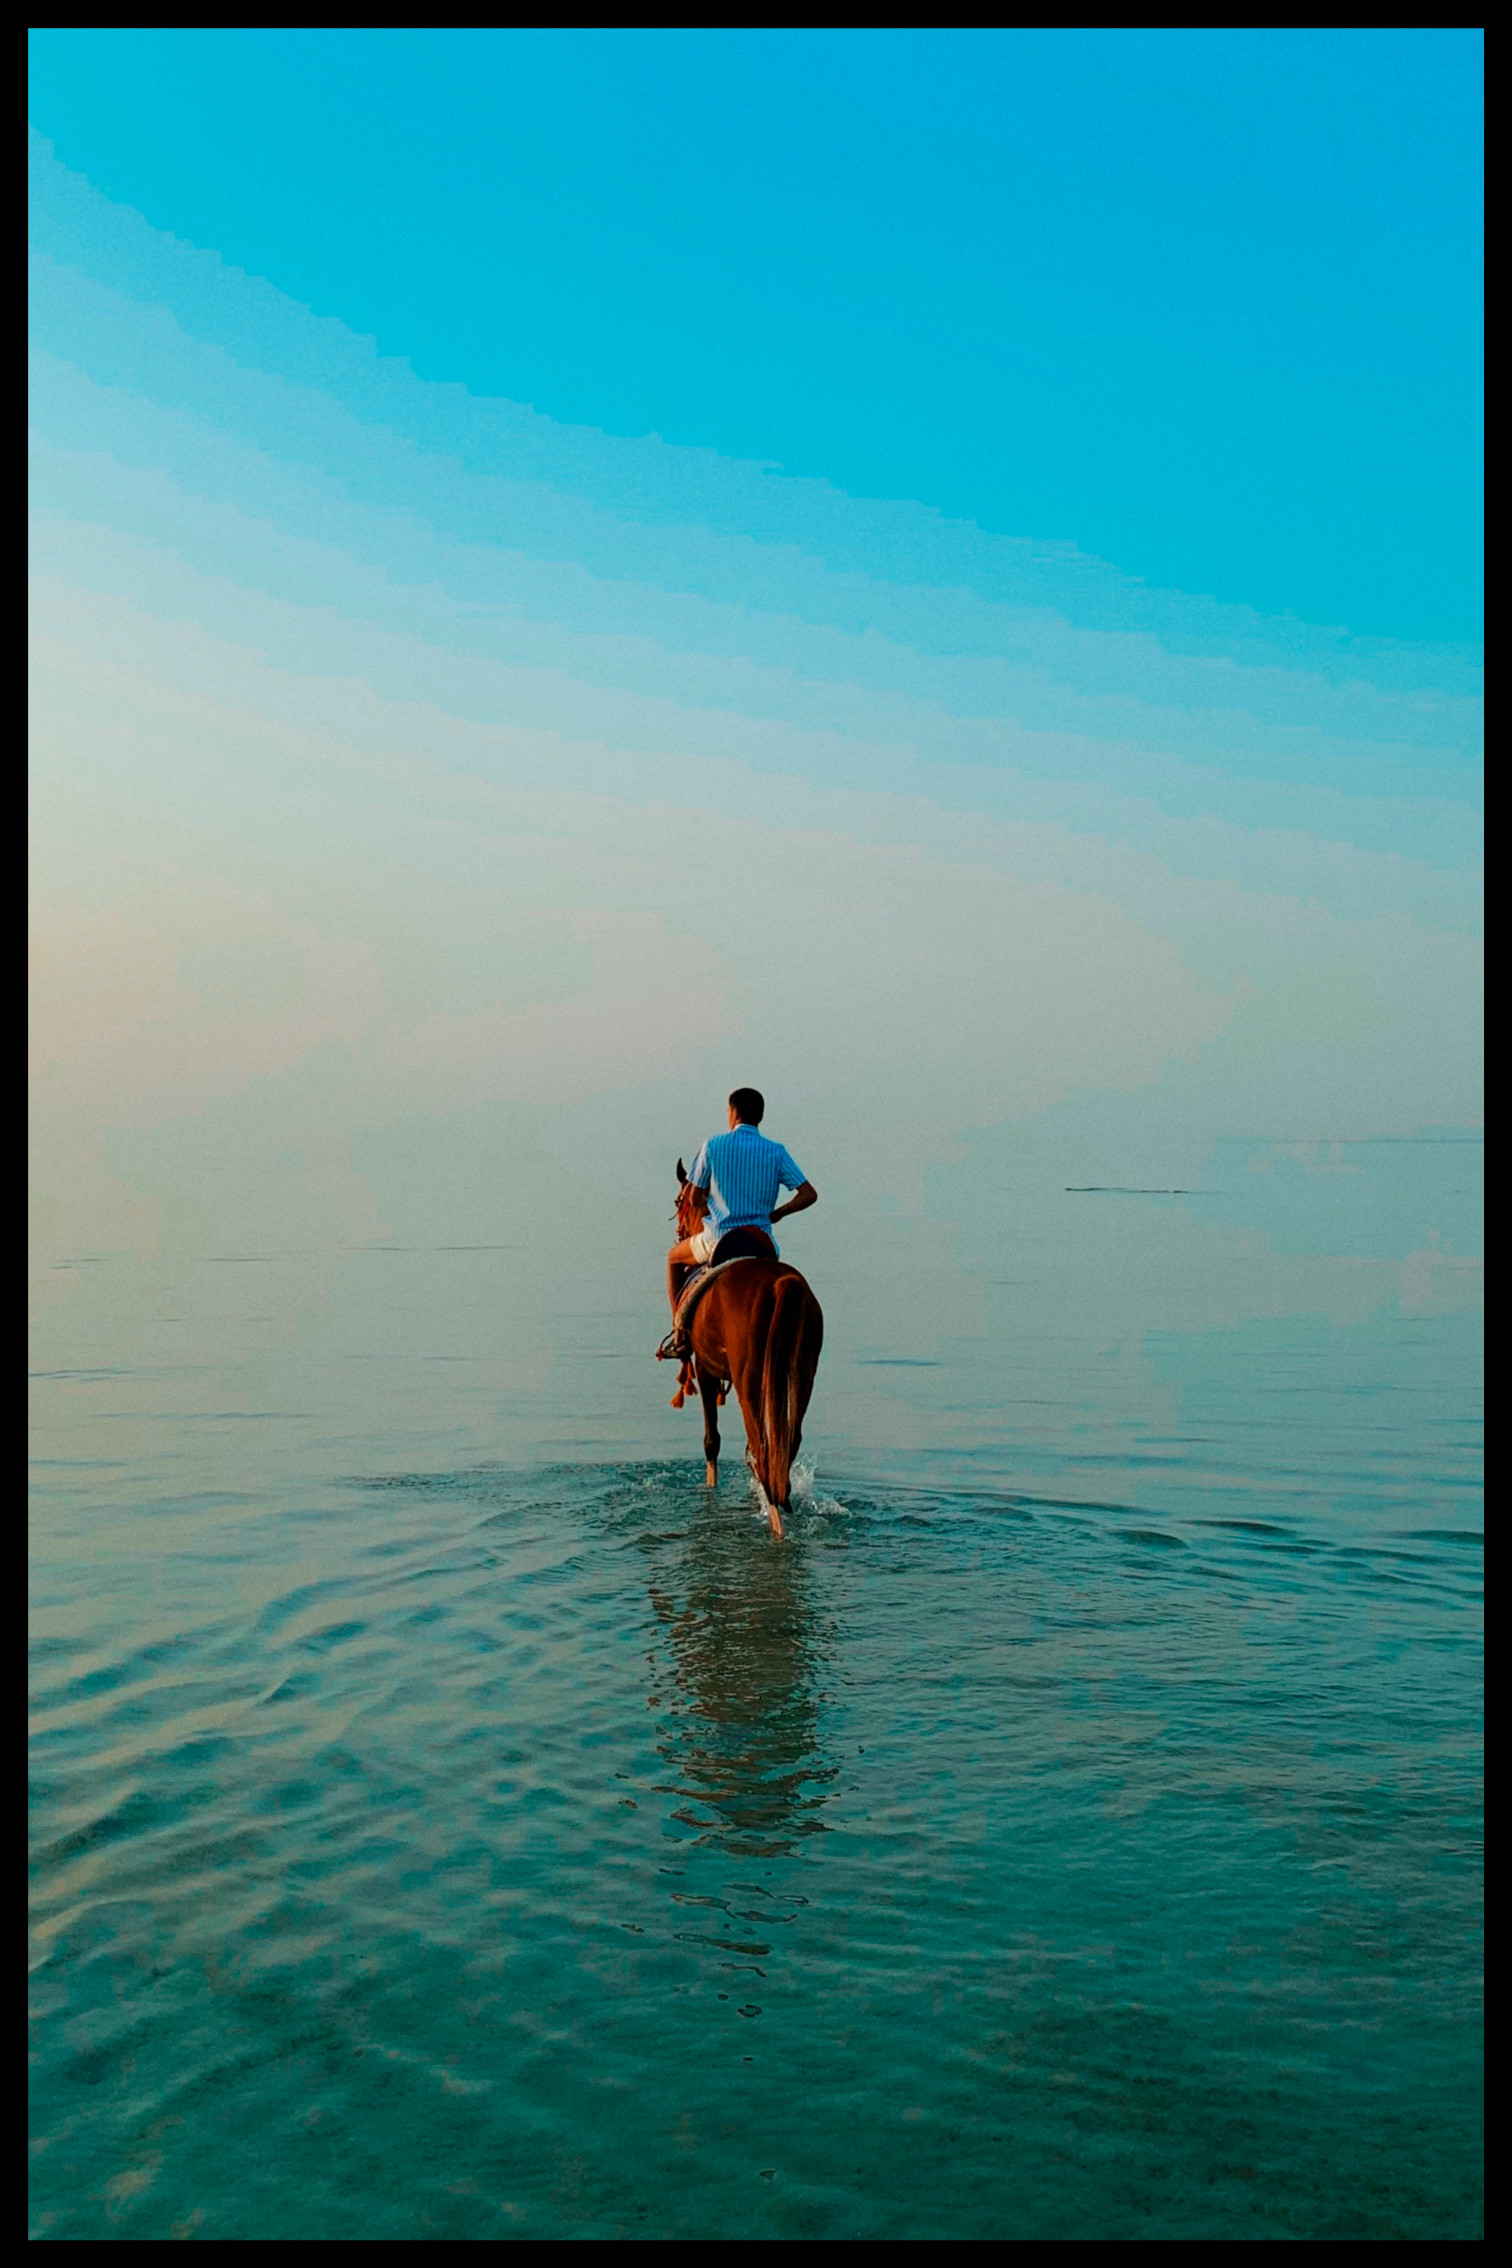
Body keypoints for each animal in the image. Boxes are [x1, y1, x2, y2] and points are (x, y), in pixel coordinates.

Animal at [666, 1161, 820, 1533]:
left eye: (679, 1201)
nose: (679, 1234)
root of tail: (783, 1283)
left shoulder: (705, 1368)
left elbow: (711, 1441)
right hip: (803, 1374)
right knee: (784, 1447)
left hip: (750, 1380)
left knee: (764, 1454)